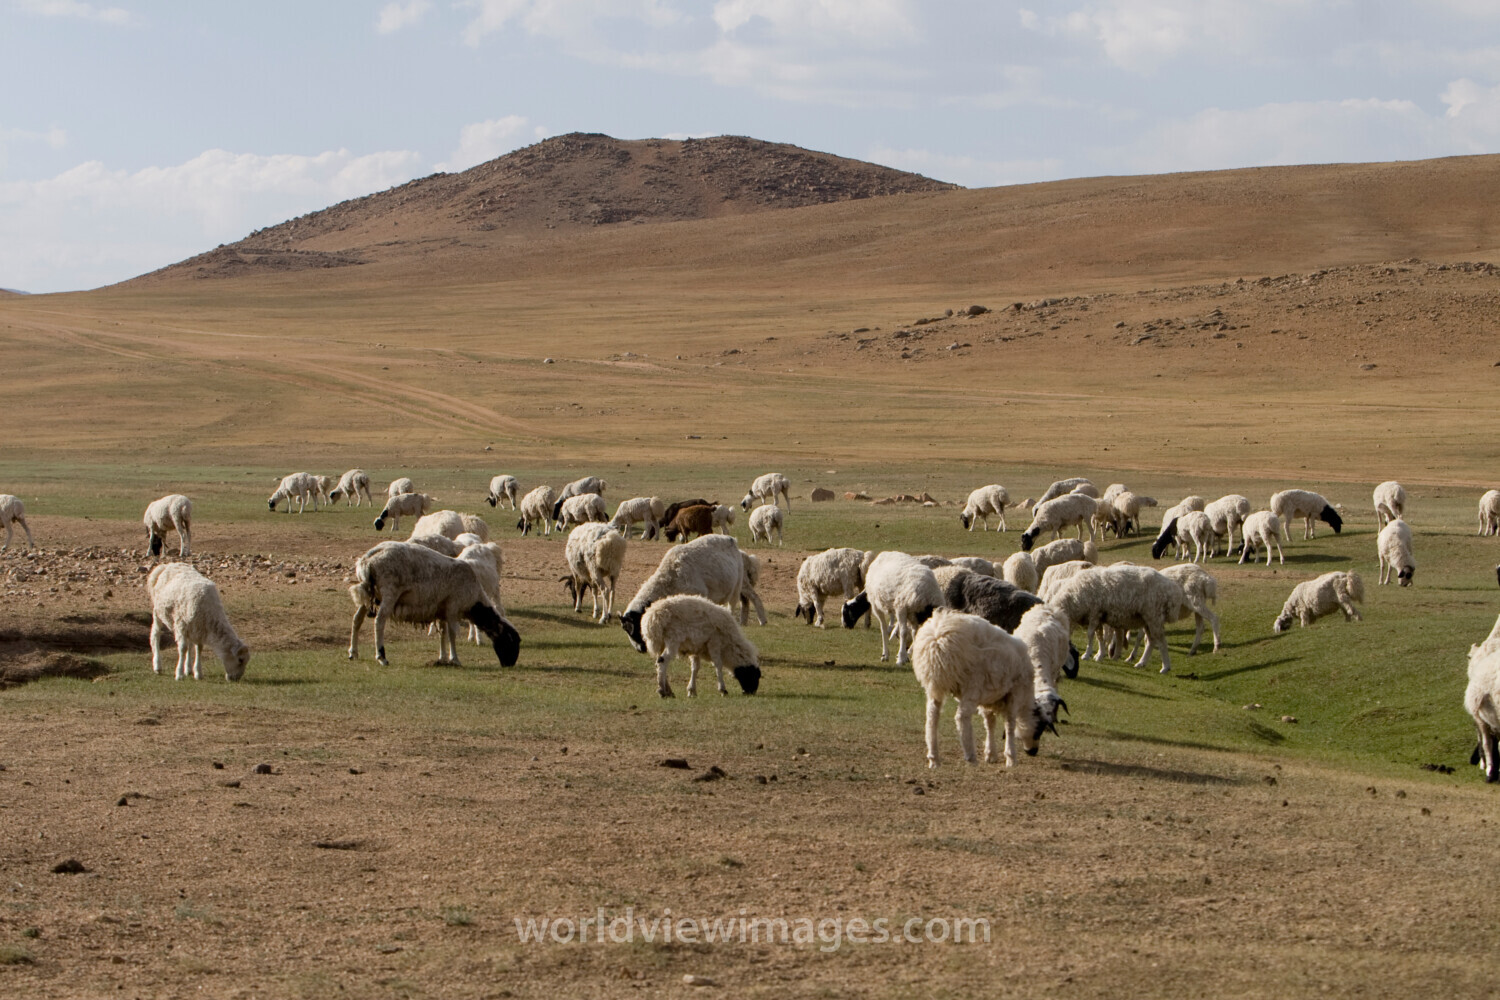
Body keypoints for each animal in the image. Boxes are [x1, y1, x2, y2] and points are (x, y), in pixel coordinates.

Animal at [347, 540, 520, 667]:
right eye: (511, 640)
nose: (509, 664)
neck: (474, 600)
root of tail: (368, 559)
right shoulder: (453, 606)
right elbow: (452, 633)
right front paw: (455, 659)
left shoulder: (441, 609)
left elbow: (443, 632)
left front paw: (443, 657)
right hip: (389, 592)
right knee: (379, 621)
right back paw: (381, 656)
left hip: (370, 594)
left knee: (357, 619)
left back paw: (353, 652)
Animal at [620, 534, 766, 654]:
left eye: (633, 627)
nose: (640, 649)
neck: (669, 578)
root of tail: (732, 540)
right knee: (744, 601)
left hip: (738, 584)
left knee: (746, 600)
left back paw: (759, 620)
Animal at [910, 609, 1059, 768]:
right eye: (1040, 730)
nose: (1033, 752)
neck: (1026, 703)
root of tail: (938, 637)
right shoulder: (1014, 694)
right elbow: (1010, 724)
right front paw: (1011, 758)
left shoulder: (988, 699)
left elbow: (989, 723)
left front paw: (991, 754)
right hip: (972, 683)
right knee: (962, 717)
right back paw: (970, 756)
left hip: (934, 685)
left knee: (932, 715)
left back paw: (934, 758)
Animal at [1049, 563, 1186, 673]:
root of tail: (1172, 590)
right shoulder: (1099, 616)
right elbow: (1100, 636)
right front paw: (1099, 655)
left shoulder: (1094, 612)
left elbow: (1090, 634)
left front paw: (1087, 654)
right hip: (1147, 620)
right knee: (1151, 641)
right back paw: (1141, 663)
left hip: (1154, 616)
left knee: (1161, 641)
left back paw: (1165, 667)